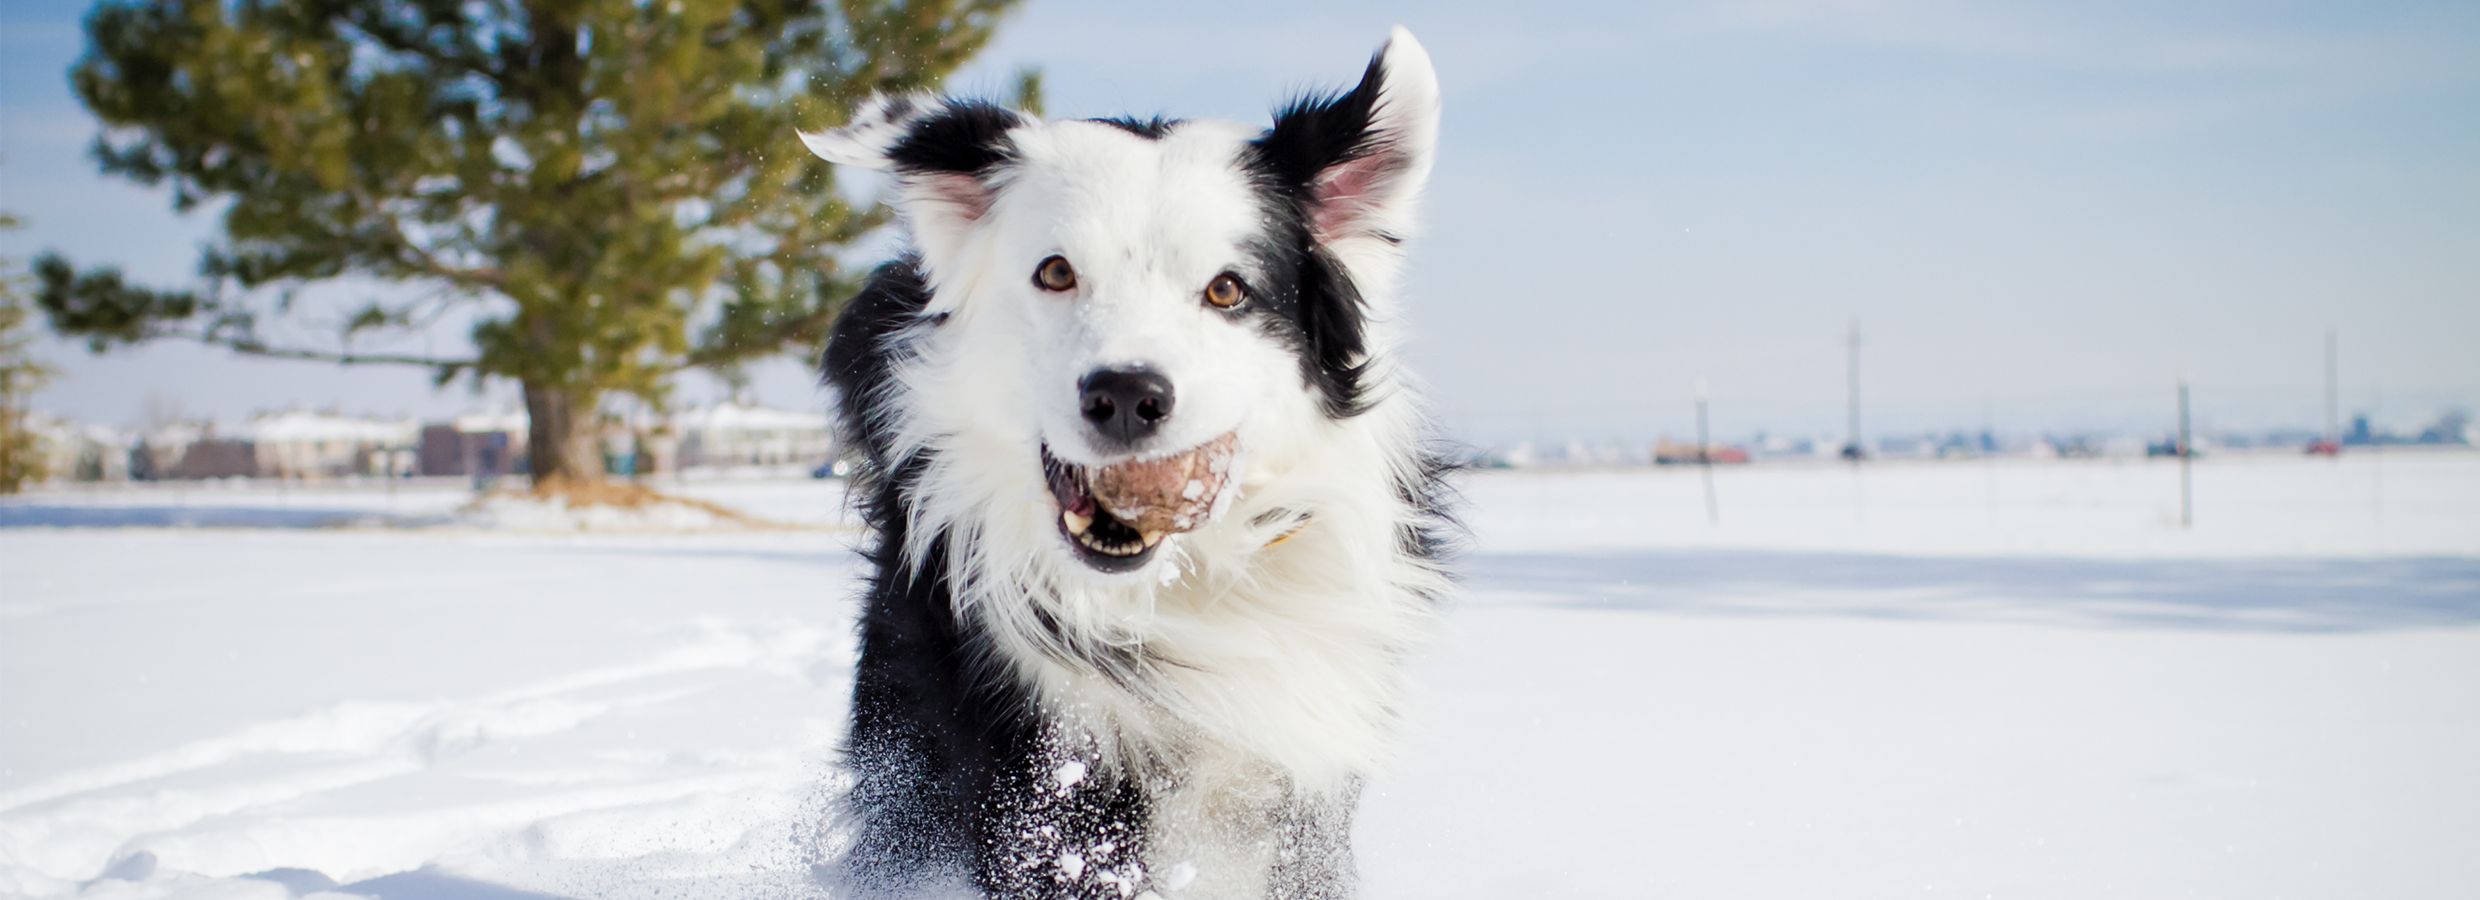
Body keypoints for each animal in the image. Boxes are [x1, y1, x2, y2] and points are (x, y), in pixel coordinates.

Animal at [803, 28, 1448, 900]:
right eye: (1055, 271)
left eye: (1227, 289)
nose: (1126, 395)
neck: (1179, 589)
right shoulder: (1041, 780)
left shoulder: (1302, 790)